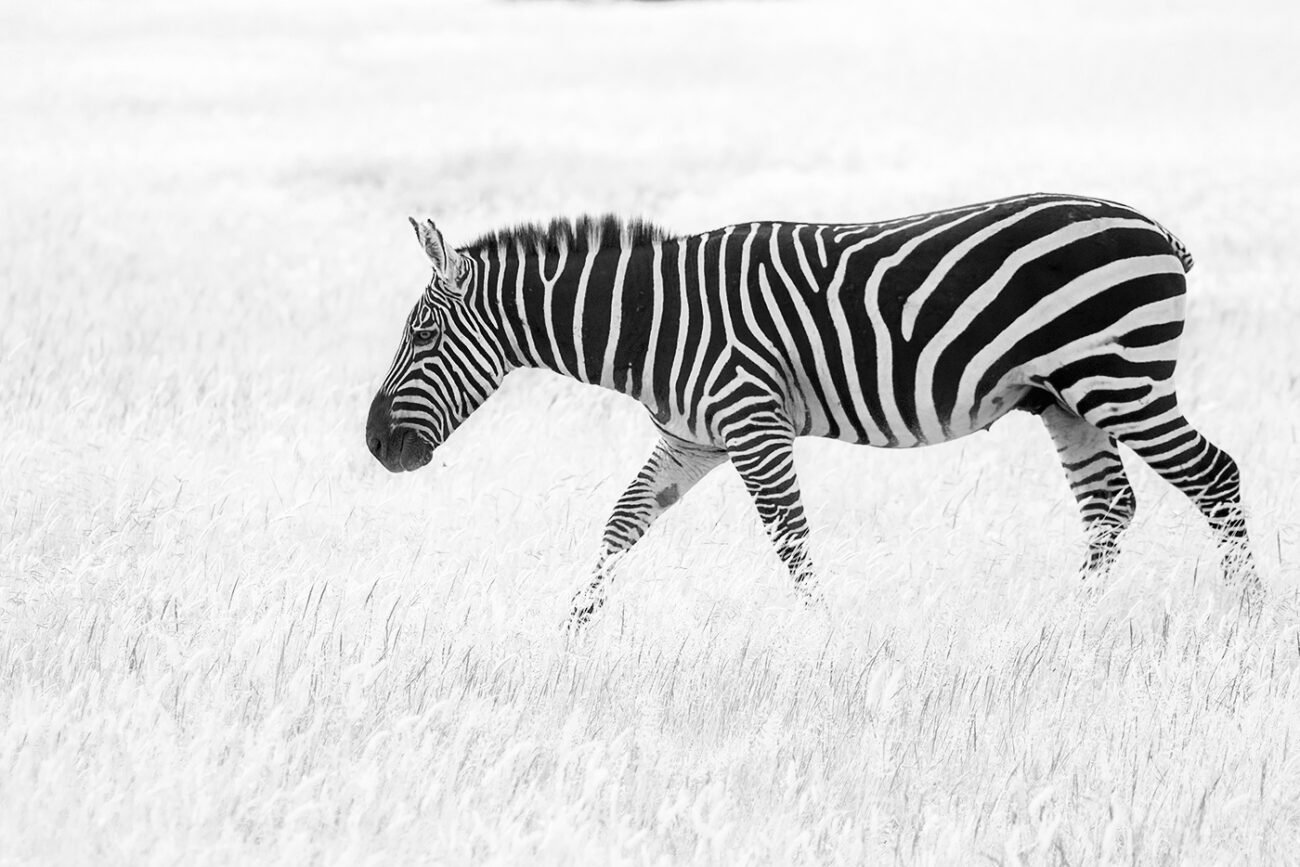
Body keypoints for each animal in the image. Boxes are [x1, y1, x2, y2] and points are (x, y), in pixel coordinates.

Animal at [366, 193, 1260, 626]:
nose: (375, 445)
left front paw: (820, 634)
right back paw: (1068, 622)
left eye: (421, 332)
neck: (652, 321)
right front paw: (574, 625)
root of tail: (1156, 229)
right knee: (1110, 506)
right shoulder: (692, 439)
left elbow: (788, 536)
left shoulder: (752, 421)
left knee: (1214, 474)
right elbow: (620, 520)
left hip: (1120, 380)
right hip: (1068, 398)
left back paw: (1247, 612)